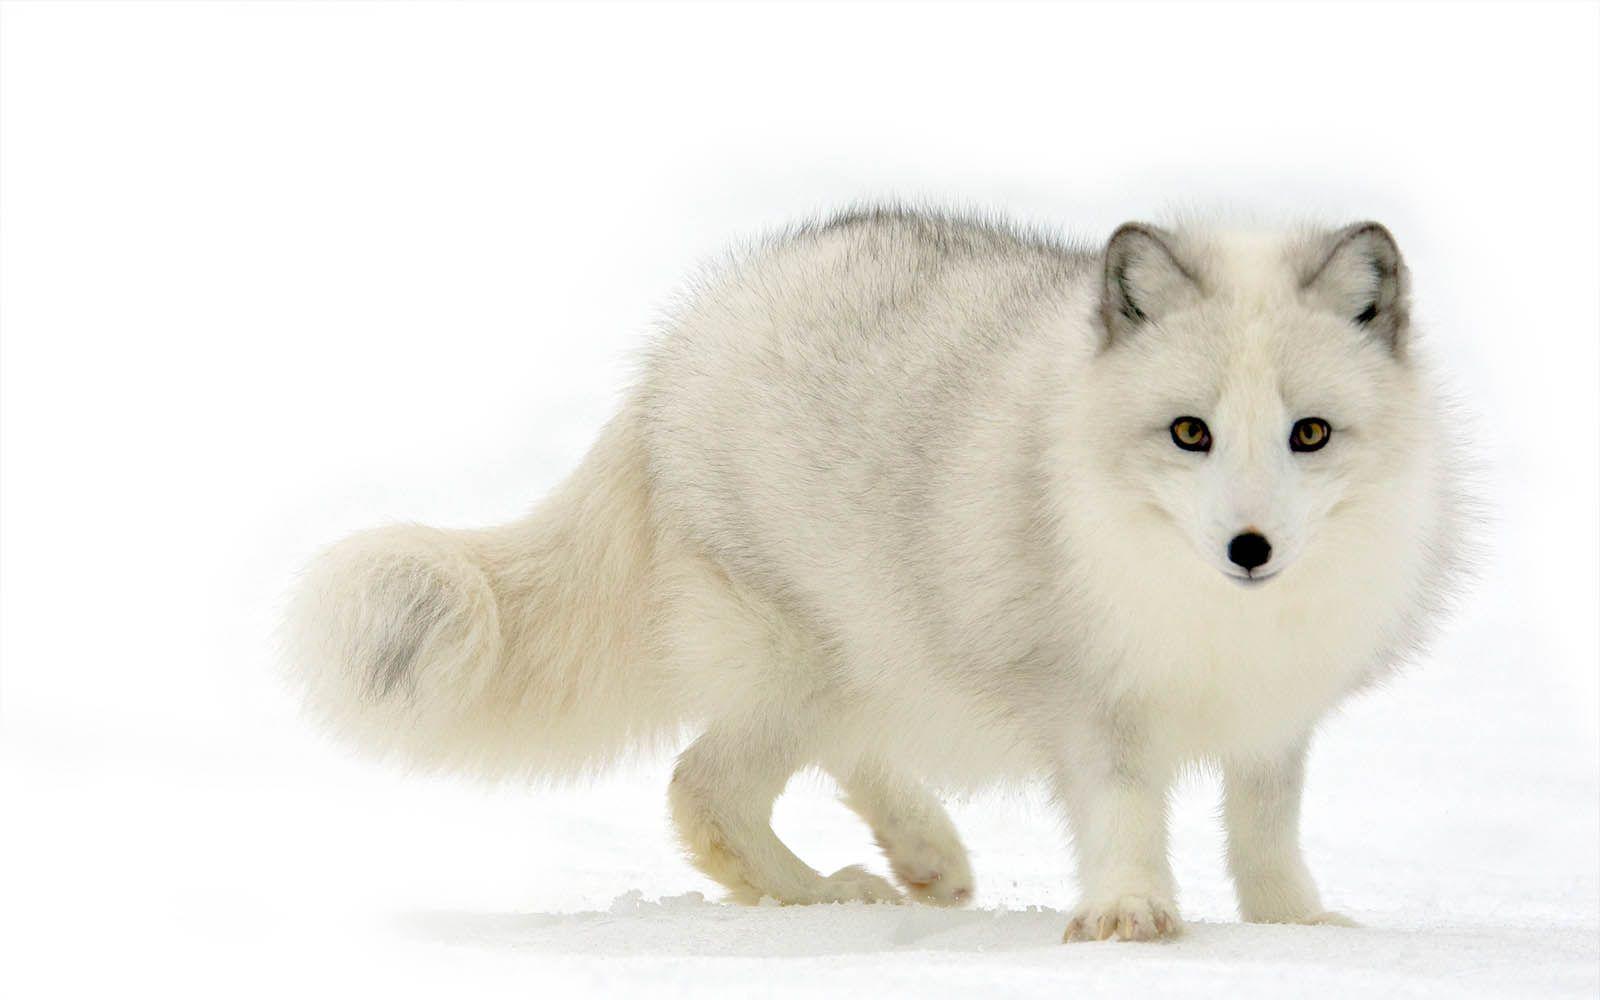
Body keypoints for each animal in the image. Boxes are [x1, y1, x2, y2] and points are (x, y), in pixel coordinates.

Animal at [285, 207, 1468, 941]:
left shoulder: (1276, 712)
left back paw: (924, 857)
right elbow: (1127, 811)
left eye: (1310, 433)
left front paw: (1295, 926)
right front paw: (1131, 917)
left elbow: (1266, 830)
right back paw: (825, 897)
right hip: (804, 658)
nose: (1249, 549)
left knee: (840, 756)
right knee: (701, 790)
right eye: (1190, 432)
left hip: (870, 656)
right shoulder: (1088, 698)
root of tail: (678, 346)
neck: (1212, 613)